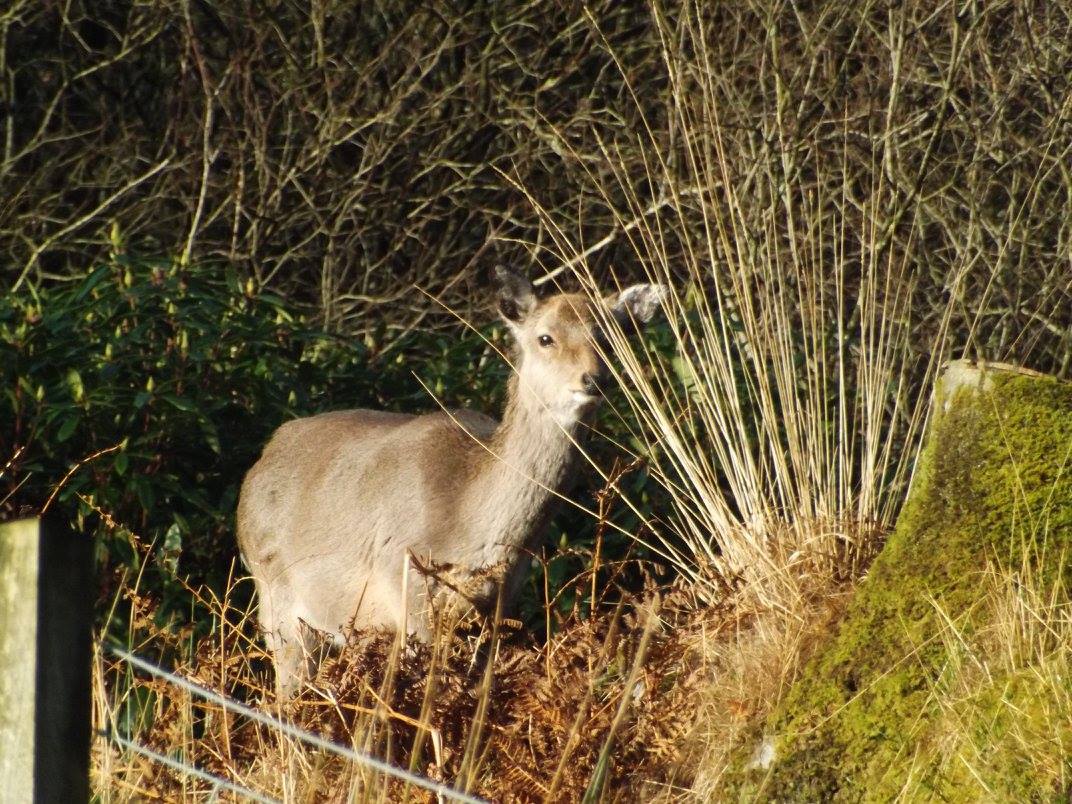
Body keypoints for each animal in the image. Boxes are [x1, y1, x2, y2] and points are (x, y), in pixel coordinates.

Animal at [236, 268, 660, 694]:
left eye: (610, 338)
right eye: (545, 337)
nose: (594, 379)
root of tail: (258, 464)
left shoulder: (498, 607)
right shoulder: (409, 591)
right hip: (278, 605)